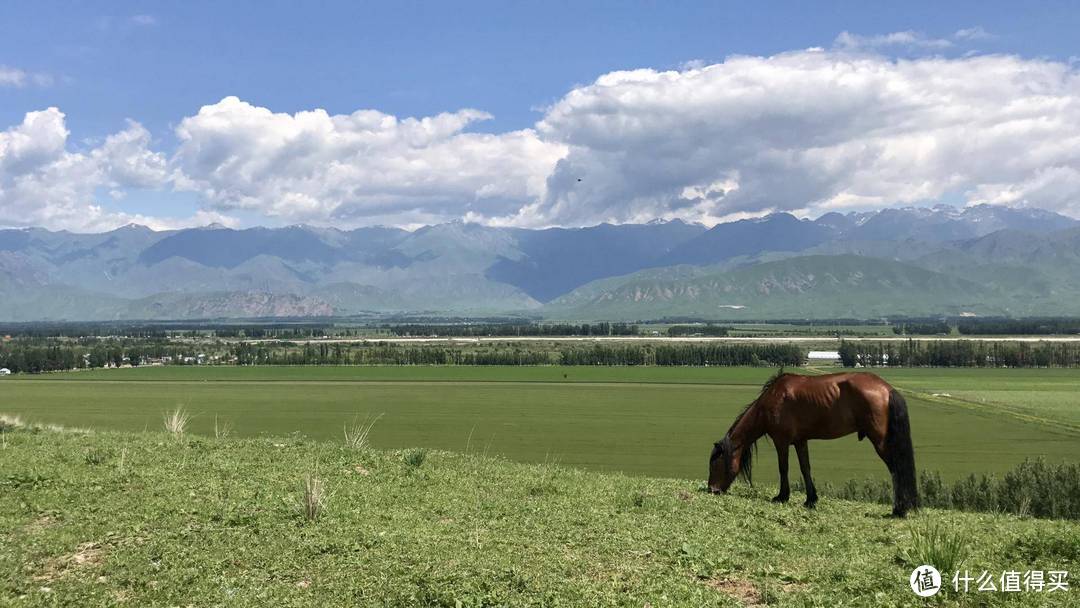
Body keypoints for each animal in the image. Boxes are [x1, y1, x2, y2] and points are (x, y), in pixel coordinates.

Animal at [708, 369, 920, 516]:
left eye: (715, 464)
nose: (712, 490)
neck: (773, 399)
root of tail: (887, 389)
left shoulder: (781, 441)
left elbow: (783, 468)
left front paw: (782, 496)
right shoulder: (801, 441)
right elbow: (805, 468)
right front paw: (810, 500)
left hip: (880, 442)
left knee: (896, 469)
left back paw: (899, 509)